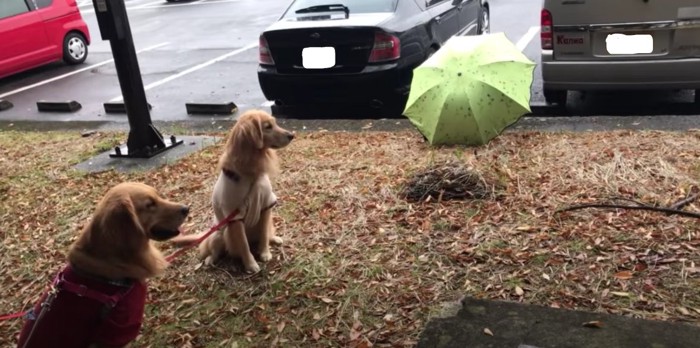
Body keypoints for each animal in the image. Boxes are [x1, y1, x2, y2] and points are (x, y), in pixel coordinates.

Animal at [174, 110, 296, 274]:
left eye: (275, 123)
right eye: (268, 127)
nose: (292, 135)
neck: (250, 171)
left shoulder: (266, 206)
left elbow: (264, 234)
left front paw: (265, 253)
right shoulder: (234, 217)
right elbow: (243, 245)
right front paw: (251, 265)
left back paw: (274, 239)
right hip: (219, 234)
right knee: (216, 250)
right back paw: (210, 259)